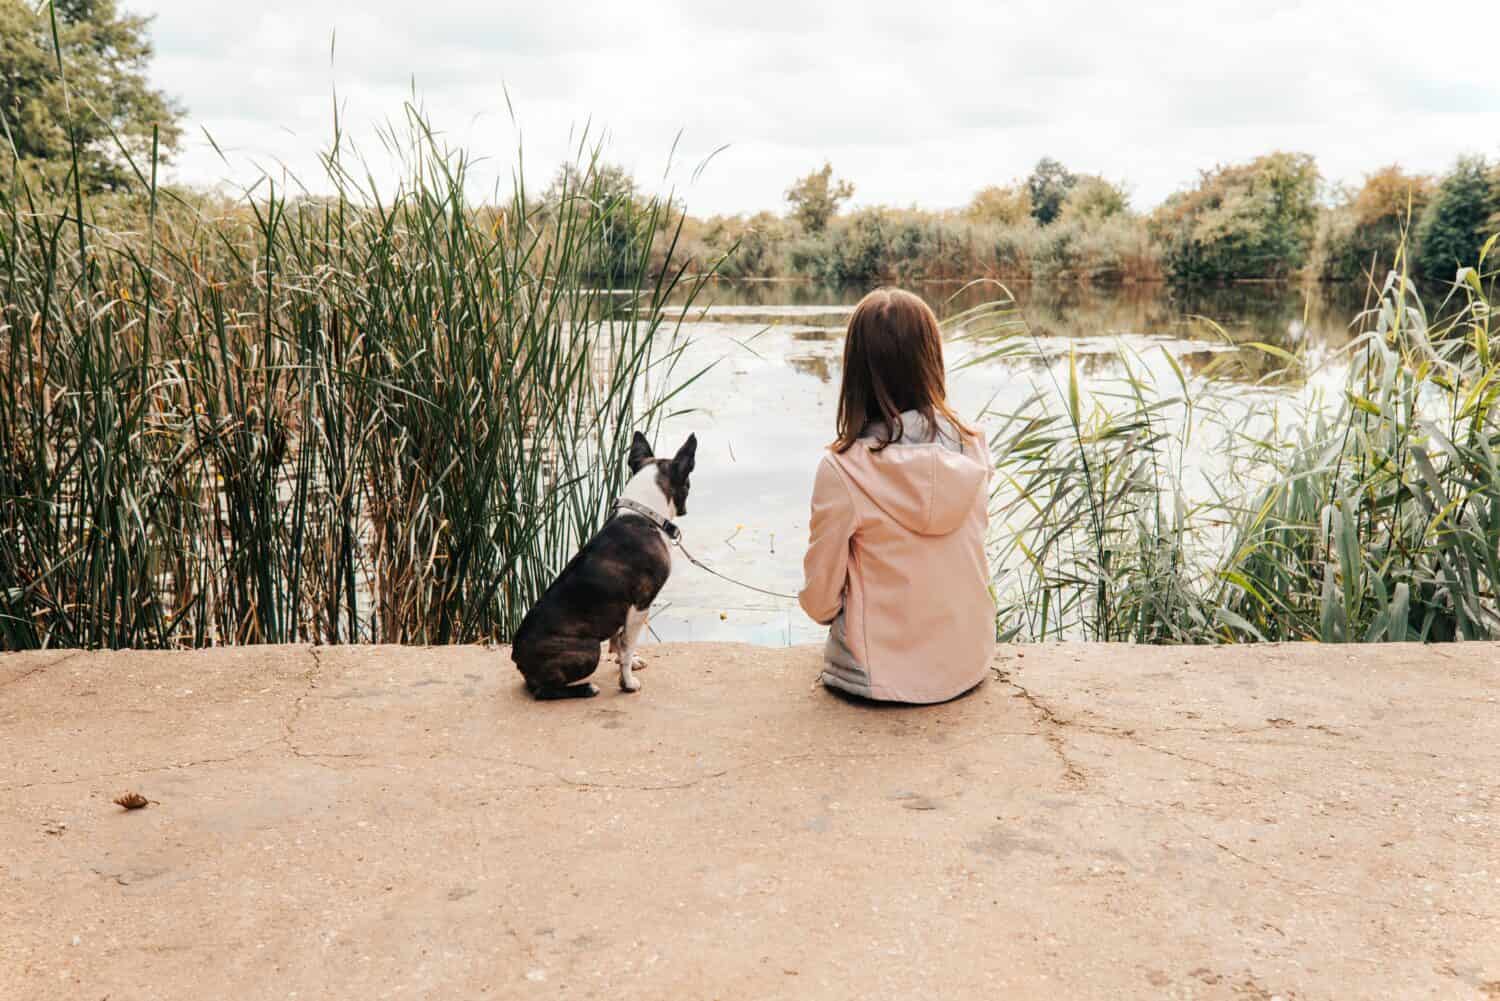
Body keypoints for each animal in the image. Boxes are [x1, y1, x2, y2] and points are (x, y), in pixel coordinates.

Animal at [510, 435, 696, 702]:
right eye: (688, 484)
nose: (684, 509)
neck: (644, 515)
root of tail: (516, 654)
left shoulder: (622, 609)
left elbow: (619, 641)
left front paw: (628, 663)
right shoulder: (640, 606)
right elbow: (627, 645)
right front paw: (627, 683)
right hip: (589, 650)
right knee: (543, 691)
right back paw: (586, 688)